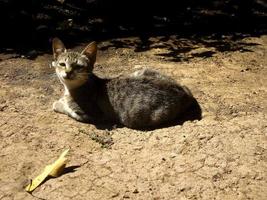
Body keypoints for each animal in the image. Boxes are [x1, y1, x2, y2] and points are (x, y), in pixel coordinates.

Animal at [51, 37, 195, 129]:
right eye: (62, 64)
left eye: (78, 66)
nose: (68, 72)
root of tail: (185, 92)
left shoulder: (92, 115)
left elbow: (66, 109)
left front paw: (58, 103)